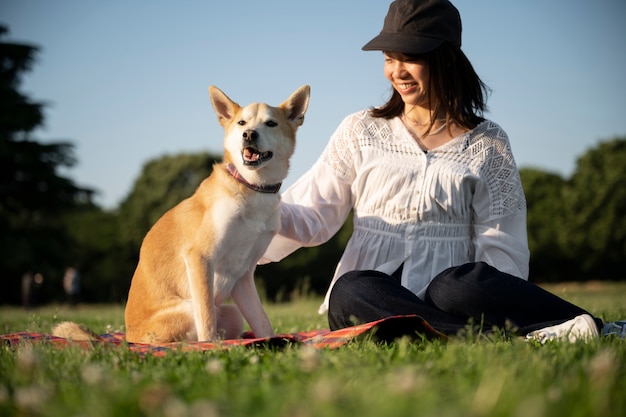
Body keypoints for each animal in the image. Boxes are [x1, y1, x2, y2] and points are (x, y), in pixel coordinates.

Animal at [53, 84, 310, 342]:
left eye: (271, 123)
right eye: (242, 123)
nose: (249, 134)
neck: (251, 187)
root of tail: (127, 338)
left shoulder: (242, 276)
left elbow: (264, 325)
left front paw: (276, 341)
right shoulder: (200, 257)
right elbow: (206, 320)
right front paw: (210, 346)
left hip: (233, 313)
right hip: (187, 308)